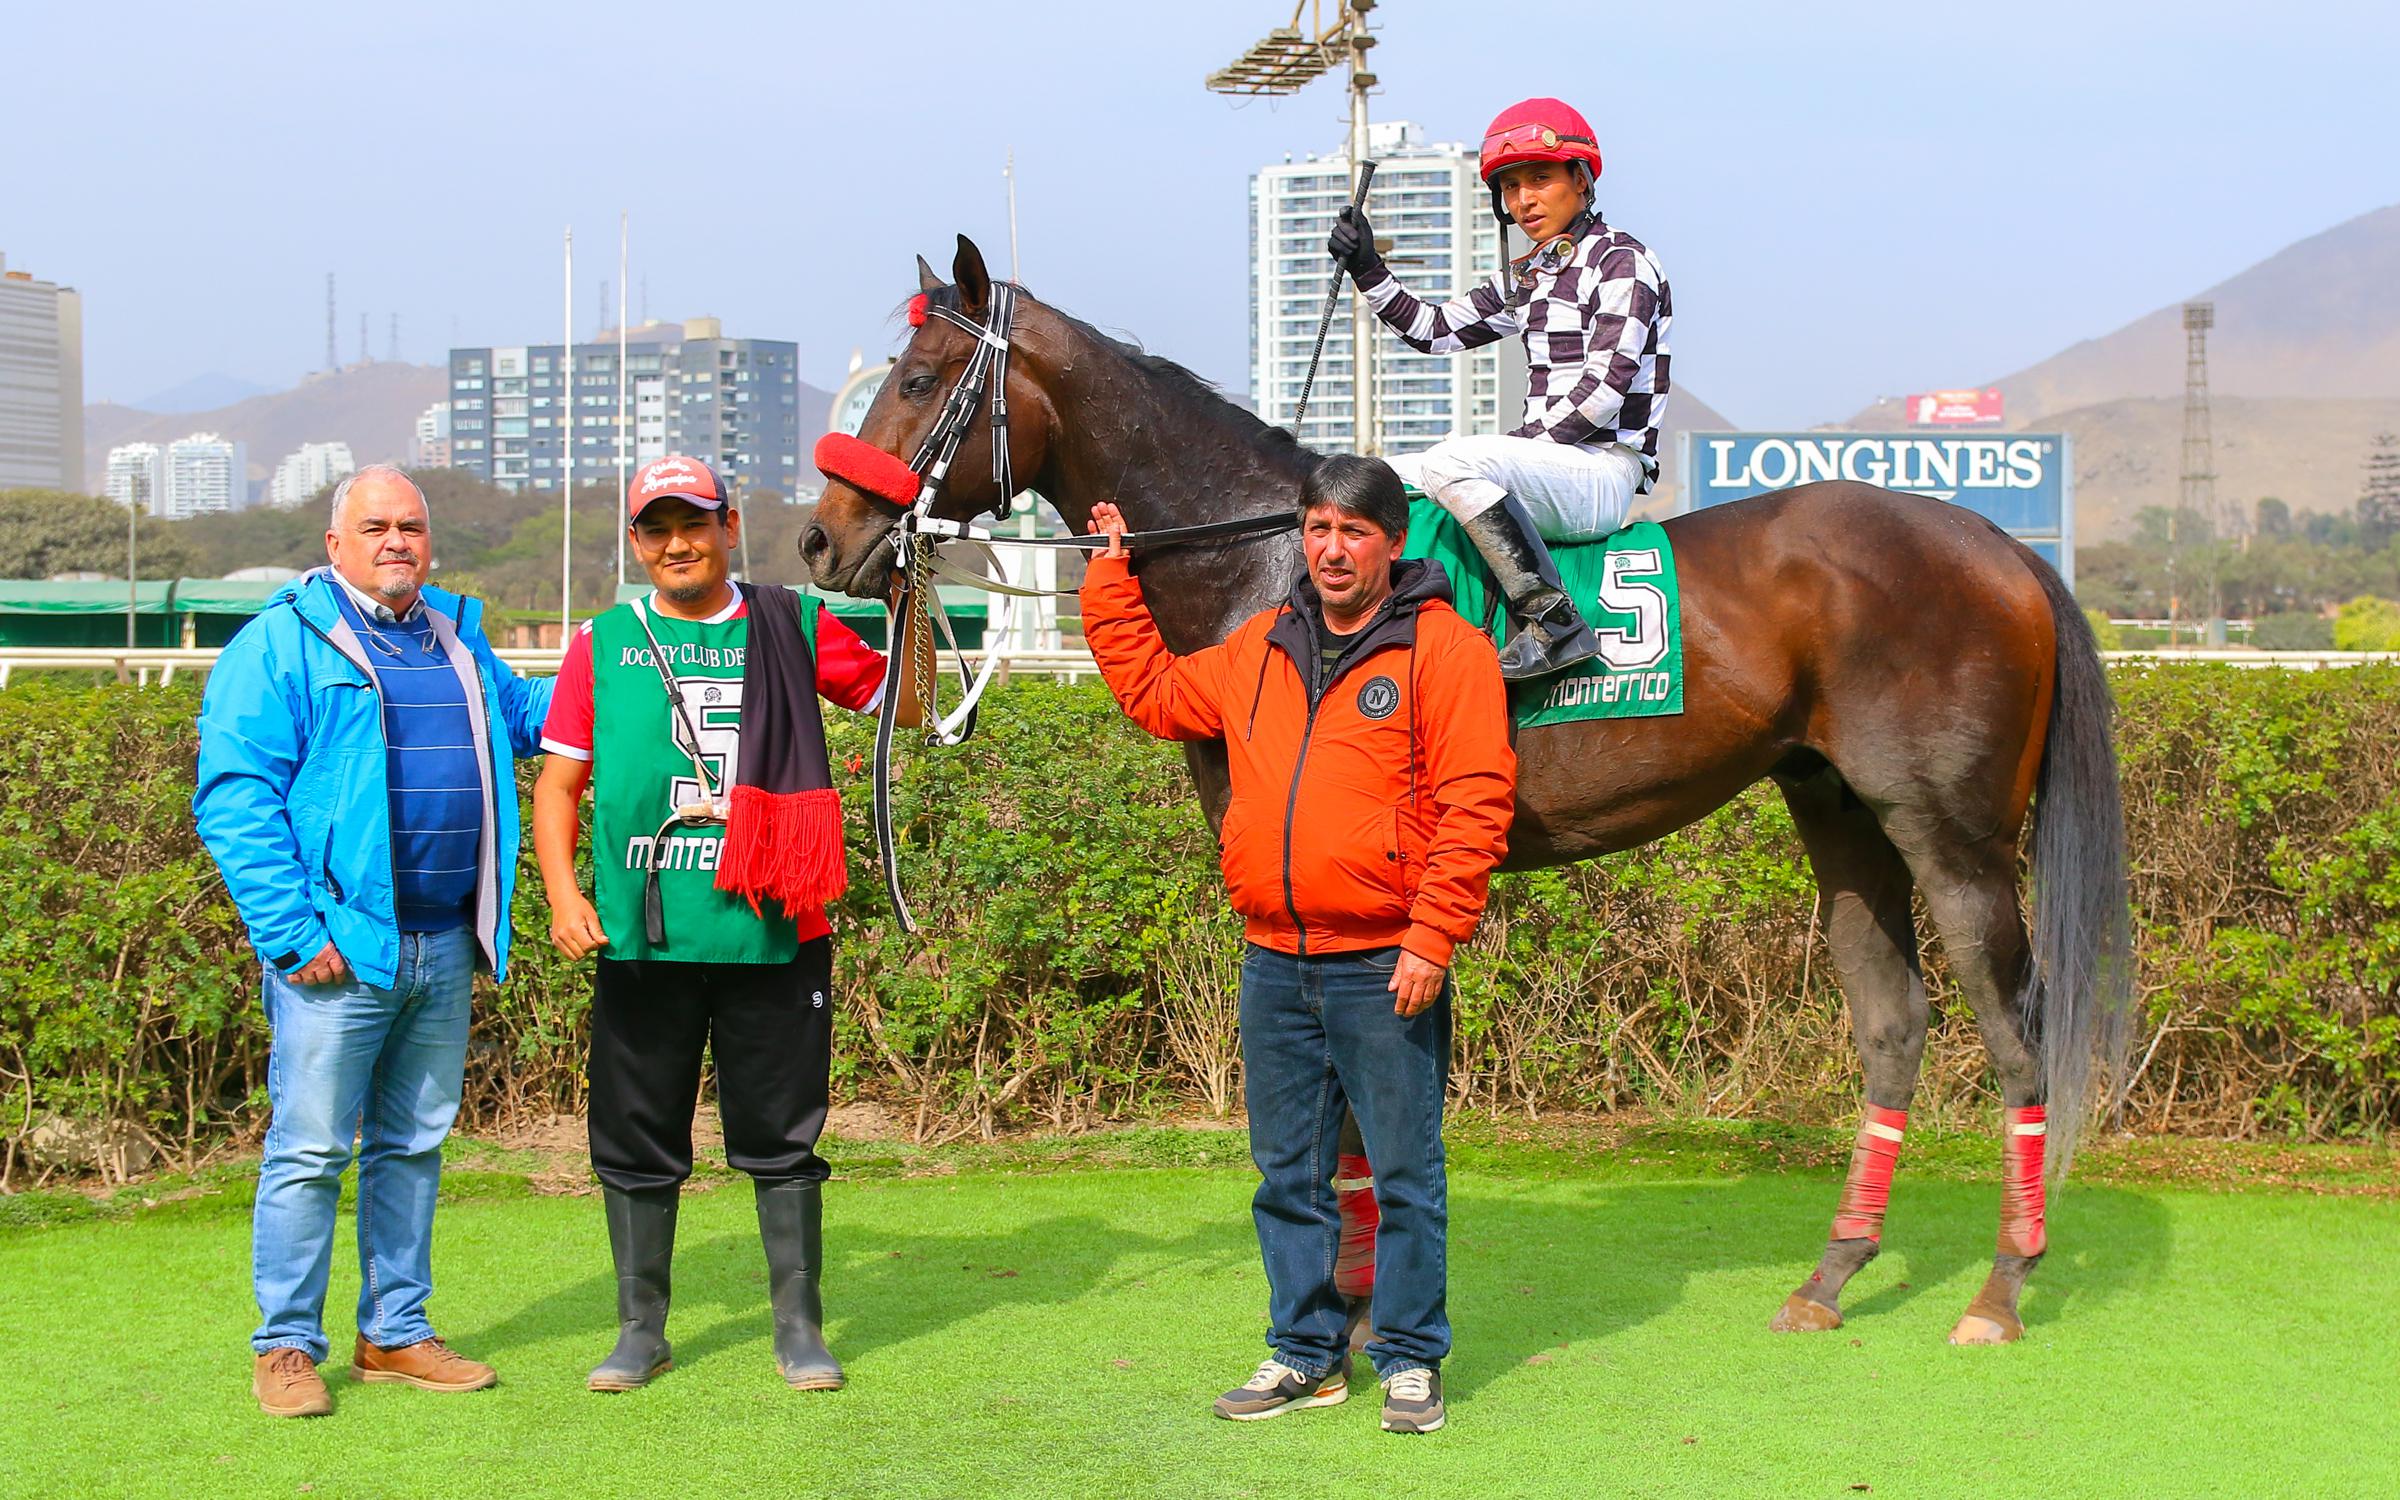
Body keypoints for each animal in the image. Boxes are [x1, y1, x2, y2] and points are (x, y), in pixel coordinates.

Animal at [811, 236, 2140, 1344]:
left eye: (921, 380)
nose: (825, 542)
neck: (1274, 562)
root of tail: (2002, 548)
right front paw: (1354, 1302)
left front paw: (1349, 1314)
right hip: (1838, 813)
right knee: (1893, 1022)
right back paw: (1832, 1275)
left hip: (1953, 840)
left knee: (2018, 1036)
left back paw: (2002, 1289)